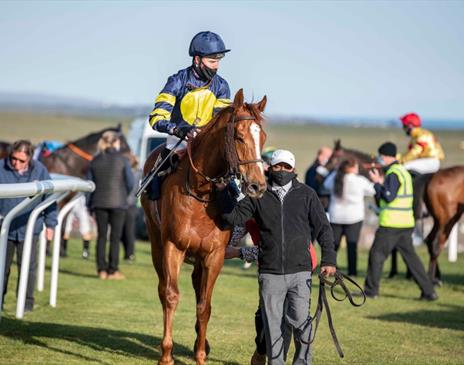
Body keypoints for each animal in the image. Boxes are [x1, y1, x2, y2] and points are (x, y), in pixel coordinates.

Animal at [140, 89, 268, 364]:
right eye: (239, 136)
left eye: (262, 137)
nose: (257, 186)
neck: (200, 193)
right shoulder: (173, 247)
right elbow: (171, 296)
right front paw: (166, 354)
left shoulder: (214, 254)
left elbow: (204, 305)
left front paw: (200, 353)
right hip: (156, 242)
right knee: (162, 288)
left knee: (198, 286)